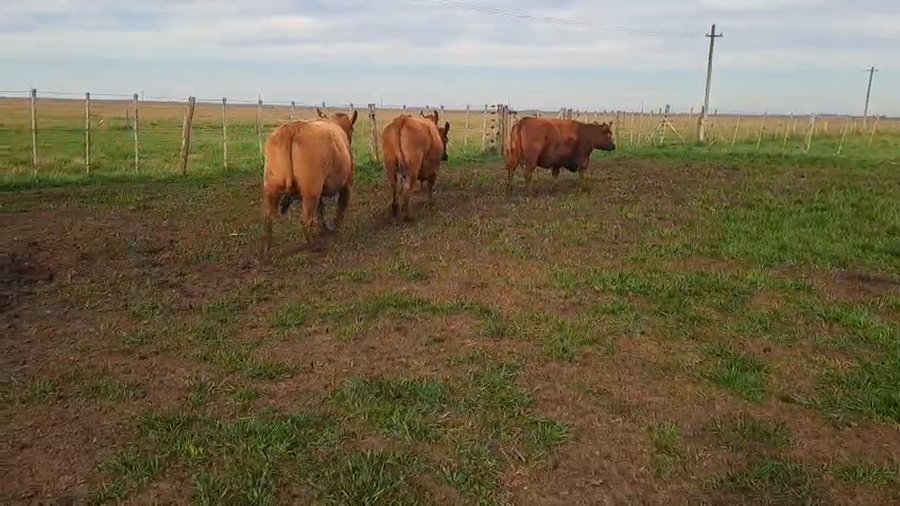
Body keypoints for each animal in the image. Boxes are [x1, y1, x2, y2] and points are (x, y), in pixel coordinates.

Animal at [261, 107, 358, 255]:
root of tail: (293, 128)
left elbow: (320, 209)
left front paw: (323, 228)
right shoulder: (347, 185)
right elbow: (340, 207)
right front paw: (335, 229)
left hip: (272, 187)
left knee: (268, 217)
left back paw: (266, 249)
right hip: (311, 191)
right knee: (305, 220)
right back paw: (313, 246)